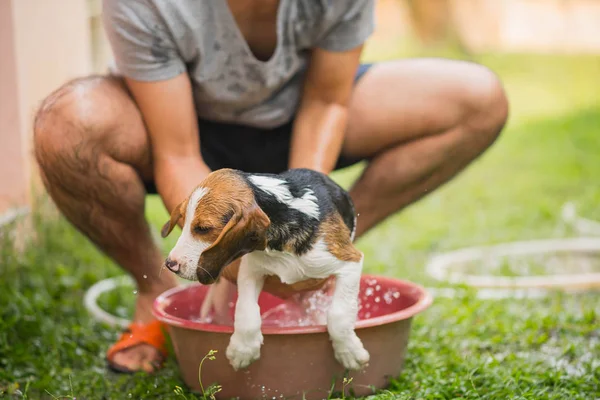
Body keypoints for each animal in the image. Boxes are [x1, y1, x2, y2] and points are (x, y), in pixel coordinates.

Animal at [162, 167, 368, 370]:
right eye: (183, 220)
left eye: (203, 228)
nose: (170, 264)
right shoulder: (250, 270)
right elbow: (247, 309)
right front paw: (243, 349)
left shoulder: (349, 262)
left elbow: (338, 313)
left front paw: (348, 352)